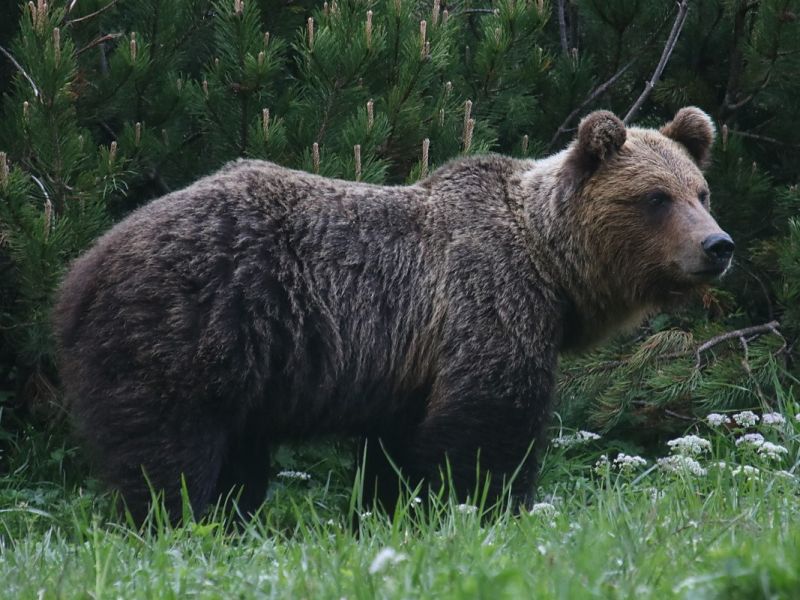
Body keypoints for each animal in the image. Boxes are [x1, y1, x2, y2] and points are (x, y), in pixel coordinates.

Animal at [54, 106, 732, 520]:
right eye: (655, 197)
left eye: (700, 191)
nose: (717, 245)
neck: (551, 267)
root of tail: (85, 265)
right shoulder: (486, 302)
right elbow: (488, 423)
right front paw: (488, 506)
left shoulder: (409, 364)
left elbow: (399, 450)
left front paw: (392, 511)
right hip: (190, 325)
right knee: (170, 449)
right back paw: (179, 519)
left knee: (232, 456)